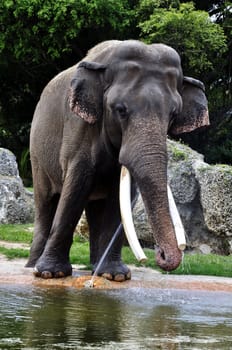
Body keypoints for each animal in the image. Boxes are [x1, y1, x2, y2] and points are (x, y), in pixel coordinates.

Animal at [25, 39, 208, 282]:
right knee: (46, 201)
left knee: (94, 207)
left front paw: (115, 275)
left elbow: (120, 199)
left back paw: (95, 267)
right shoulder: (80, 127)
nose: (160, 254)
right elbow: (75, 187)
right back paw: (33, 266)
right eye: (120, 110)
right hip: (37, 152)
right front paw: (51, 273)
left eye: (173, 115)